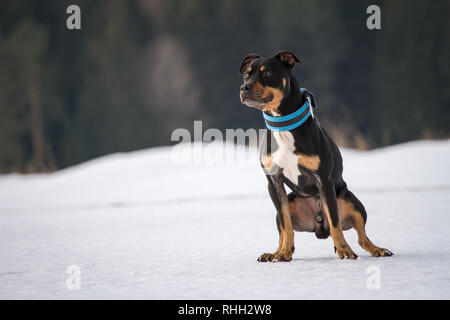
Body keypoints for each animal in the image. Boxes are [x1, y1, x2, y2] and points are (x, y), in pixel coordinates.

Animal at [239, 50, 394, 260]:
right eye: (246, 75)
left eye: (268, 73)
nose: (244, 87)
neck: (283, 125)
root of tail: (319, 224)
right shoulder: (274, 182)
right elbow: (286, 225)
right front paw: (283, 253)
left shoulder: (323, 180)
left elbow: (335, 222)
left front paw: (344, 250)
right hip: (290, 201)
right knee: (283, 227)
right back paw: (275, 253)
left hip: (352, 202)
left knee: (361, 235)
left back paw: (377, 249)